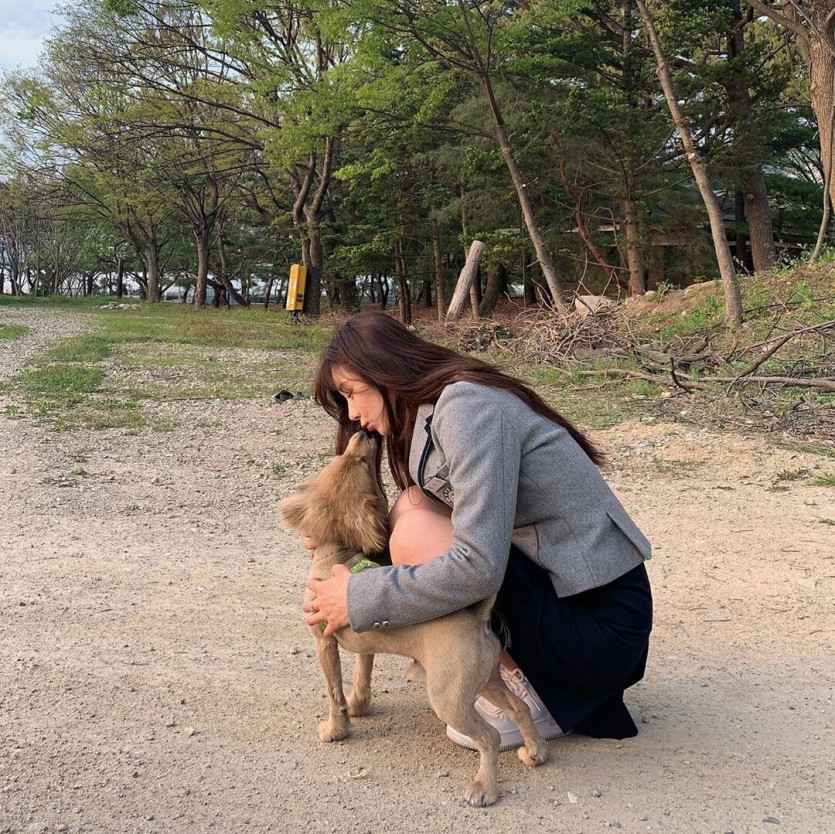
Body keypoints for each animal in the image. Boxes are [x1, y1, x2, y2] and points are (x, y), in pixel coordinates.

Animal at [280, 426, 548, 804]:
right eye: (346, 458)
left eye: (358, 462)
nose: (363, 431)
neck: (337, 553)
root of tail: (477, 617)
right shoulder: (365, 646)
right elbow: (361, 675)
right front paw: (360, 706)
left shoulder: (323, 643)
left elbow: (334, 693)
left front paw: (336, 729)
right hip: (487, 680)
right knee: (520, 708)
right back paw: (535, 752)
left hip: (449, 697)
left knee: (489, 738)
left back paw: (484, 788)